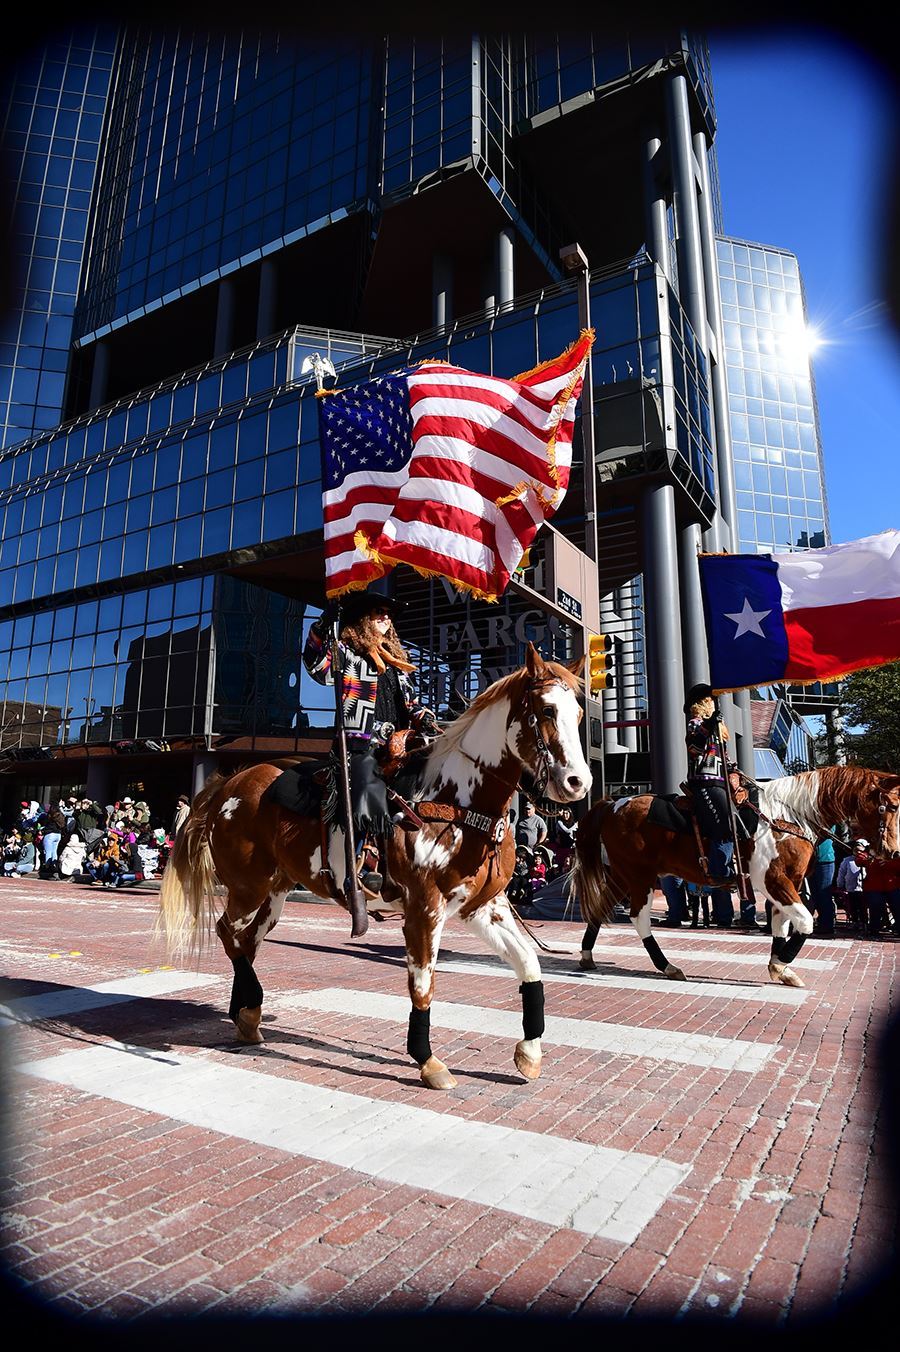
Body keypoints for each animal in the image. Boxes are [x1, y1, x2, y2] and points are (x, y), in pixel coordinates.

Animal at [156, 640, 589, 1087]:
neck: (456, 801)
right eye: (546, 711)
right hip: (247, 887)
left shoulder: (483, 907)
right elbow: (423, 985)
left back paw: (246, 1015)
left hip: (274, 893)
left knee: (247, 942)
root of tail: (230, 782)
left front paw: (529, 1052)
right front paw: (427, 1060)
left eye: (577, 714)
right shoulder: (424, 910)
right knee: (228, 933)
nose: (578, 783)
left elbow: (529, 964)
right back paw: (249, 1005)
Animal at [567, 767, 897, 989]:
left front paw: (780, 968)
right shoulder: (773, 881)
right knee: (639, 918)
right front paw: (782, 963)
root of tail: (613, 805)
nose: (892, 852)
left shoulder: (784, 884)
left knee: (600, 908)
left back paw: (587, 955)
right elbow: (804, 922)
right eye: (892, 806)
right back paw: (668, 966)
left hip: (623, 877)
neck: (787, 817)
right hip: (640, 878)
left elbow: (781, 925)